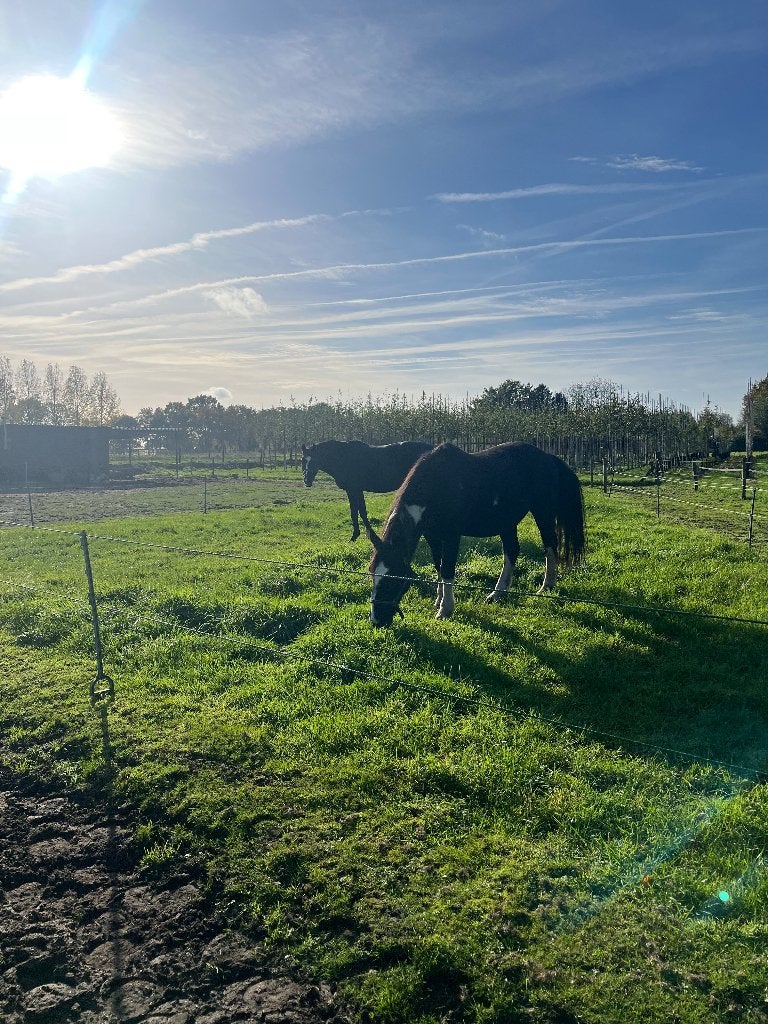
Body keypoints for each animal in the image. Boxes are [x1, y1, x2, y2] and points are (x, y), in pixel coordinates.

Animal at [301, 439, 433, 540]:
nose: (307, 481)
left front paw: (357, 536)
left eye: (314, 461)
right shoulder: (356, 490)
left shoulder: (353, 490)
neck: (343, 458)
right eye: (303, 460)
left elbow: (356, 512)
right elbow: (360, 511)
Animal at [367, 441, 585, 626]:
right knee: (512, 551)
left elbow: (447, 569)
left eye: (393, 579)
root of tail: (549, 457)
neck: (437, 485)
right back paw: (497, 593)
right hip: (506, 521)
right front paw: (438, 601)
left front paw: (445, 609)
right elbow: (438, 566)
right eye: (372, 573)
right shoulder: (432, 537)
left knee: (550, 545)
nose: (377, 620)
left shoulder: (451, 536)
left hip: (543, 512)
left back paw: (547, 586)